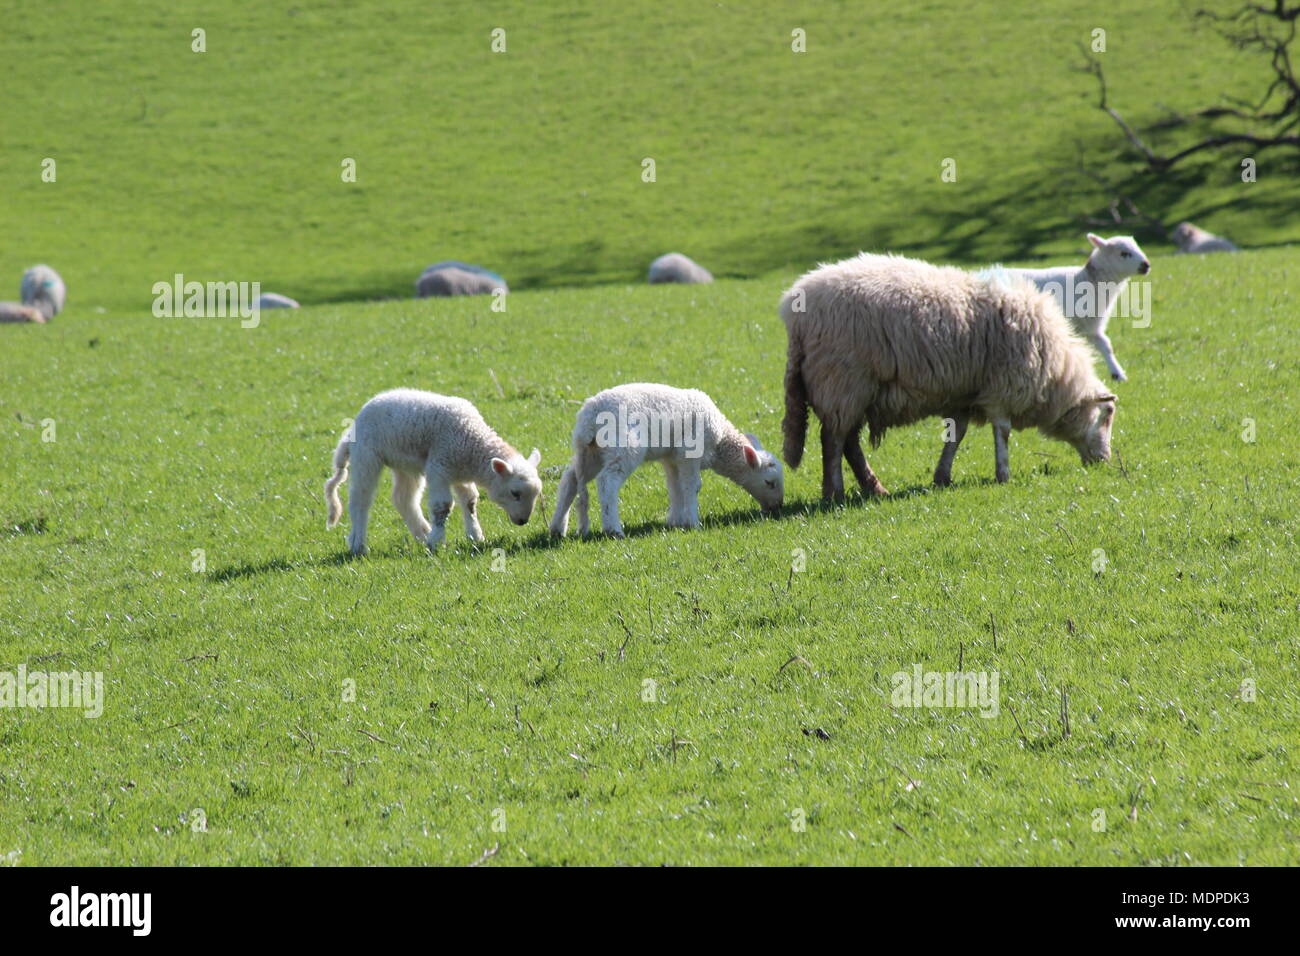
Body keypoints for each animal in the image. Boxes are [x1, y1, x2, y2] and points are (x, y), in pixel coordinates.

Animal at [324, 388, 542, 555]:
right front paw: (437, 543)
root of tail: (352, 428)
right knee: (360, 500)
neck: (472, 441)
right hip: (366, 456)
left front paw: (475, 536)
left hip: (404, 464)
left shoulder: (460, 473)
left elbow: (470, 501)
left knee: (404, 499)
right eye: (515, 493)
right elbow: (442, 506)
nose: (523, 521)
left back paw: (422, 533)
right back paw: (358, 545)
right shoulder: (439, 467)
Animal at [548, 383, 783, 538]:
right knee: (607, 482)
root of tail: (588, 419)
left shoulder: (671, 458)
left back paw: (557, 528)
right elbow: (692, 486)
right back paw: (613, 529)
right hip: (624, 448)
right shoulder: (689, 452)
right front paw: (693, 522)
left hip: (592, 453)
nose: (777, 508)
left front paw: (675, 521)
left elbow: (675, 487)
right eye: (769, 483)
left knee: (570, 480)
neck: (720, 443)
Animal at [781, 253, 1118, 500]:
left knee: (849, 442)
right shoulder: (1004, 385)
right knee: (833, 440)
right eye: (1107, 415)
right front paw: (1003, 474)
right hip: (842, 380)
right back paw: (835, 492)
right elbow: (1002, 431)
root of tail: (795, 312)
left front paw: (942, 476)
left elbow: (957, 435)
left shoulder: (965, 394)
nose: (1105, 460)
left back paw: (874, 488)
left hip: (851, 387)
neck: (1057, 375)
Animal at [993, 234, 1149, 382]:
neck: (1087, 280)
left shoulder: (1090, 326)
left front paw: (1118, 374)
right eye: (1124, 253)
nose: (1146, 265)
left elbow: (1106, 345)